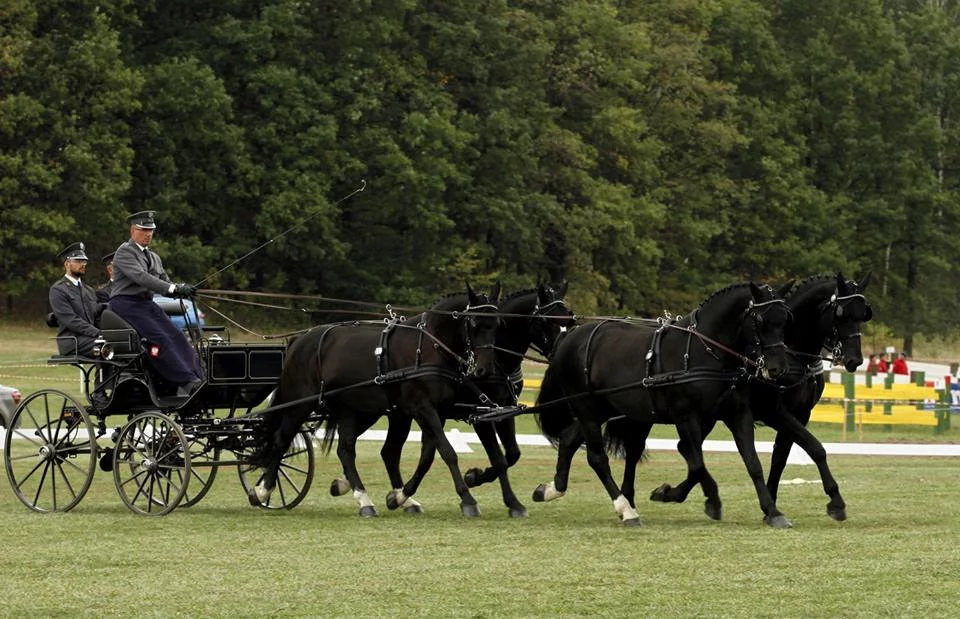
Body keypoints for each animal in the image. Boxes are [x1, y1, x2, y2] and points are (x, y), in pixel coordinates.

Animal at [251, 286, 498, 520]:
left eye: (496, 323)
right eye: (474, 323)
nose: (484, 370)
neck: (428, 347)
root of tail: (299, 340)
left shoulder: (437, 411)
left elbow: (428, 456)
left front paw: (399, 497)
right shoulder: (423, 409)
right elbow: (447, 452)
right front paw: (468, 500)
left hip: (353, 410)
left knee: (348, 450)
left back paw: (365, 500)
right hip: (300, 405)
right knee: (281, 441)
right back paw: (262, 491)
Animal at [364, 284, 572, 520]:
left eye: (569, 318)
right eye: (548, 321)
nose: (563, 354)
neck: (498, 361)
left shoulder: (503, 411)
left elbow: (512, 454)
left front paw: (479, 479)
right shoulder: (480, 415)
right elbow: (498, 458)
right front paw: (485, 488)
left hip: (400, 415)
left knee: (390, 452)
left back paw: (398, 498)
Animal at [532, 282, 788, 528]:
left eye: (786, 317)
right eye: (759, 320)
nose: (777, 367)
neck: (705, 351)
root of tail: (570, 337)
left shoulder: (737, 414)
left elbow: (752, 462)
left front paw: (773, 512)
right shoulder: (686, 417)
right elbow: (697, 463)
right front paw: (706, 500)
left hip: (602, 410)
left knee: (569, 440)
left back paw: (551, 490)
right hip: (587, 410)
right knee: (597, 458)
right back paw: (627, 510)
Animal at [648, 274, 872, 520]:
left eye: (863, 314)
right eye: (840, 313)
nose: (855, 359)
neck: (794, 355)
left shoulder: (800, 414)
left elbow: (788, 455)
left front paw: (773, 500)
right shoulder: (775, 412)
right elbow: (811, 448)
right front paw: (834, 501)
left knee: (686, 449)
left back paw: (676, 493)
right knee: (689, 450)